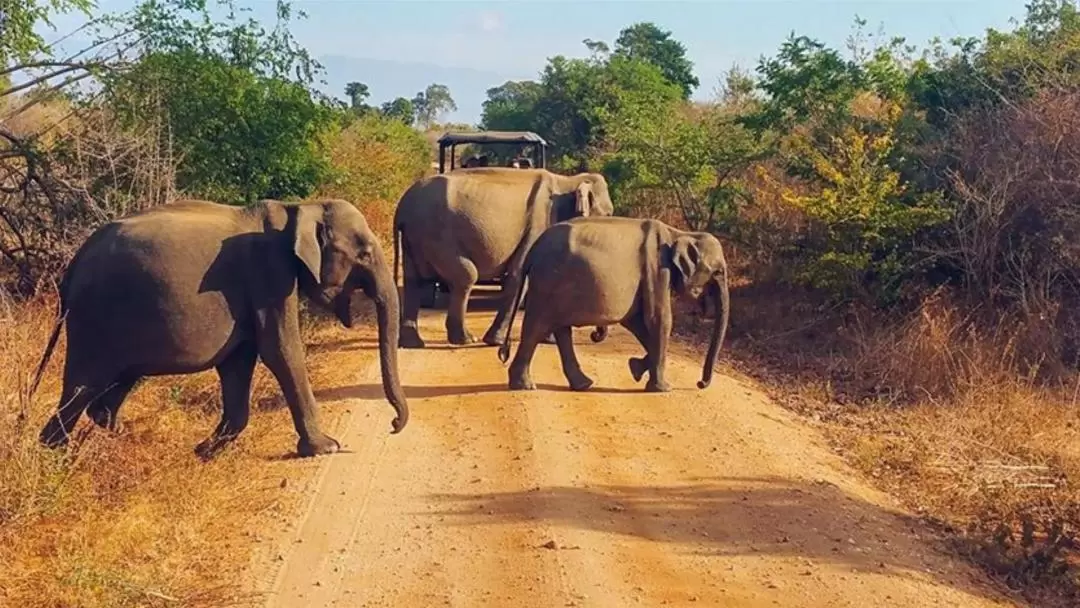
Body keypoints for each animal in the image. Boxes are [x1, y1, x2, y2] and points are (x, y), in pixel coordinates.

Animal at [29, 197, 410, 460]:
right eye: (363, 253)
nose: (393, 426)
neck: (300, 208)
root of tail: (75, 261)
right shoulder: (269, 274)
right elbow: (280, 350)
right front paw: (326, 448)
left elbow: (239, 360)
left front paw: (203, 451)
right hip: (95, 317)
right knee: (83, 386)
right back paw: (55, 456)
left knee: (114, 385)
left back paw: (121, 436)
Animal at [395, 166, 617, 349]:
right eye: (608, 214)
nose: (595, 336)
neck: (567, 181)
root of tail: (402, 208)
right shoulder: (537, 224)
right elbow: (519, 276)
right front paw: (496, 341)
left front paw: (549, 340)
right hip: (436, 235)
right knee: (465, 277)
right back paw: (466, 340)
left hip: (415, 237)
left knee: (413, 281)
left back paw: (413, 343)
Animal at [498, 215, 734, 393]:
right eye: (718, 272)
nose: (700, 383)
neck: (679, 233)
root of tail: (533, 250)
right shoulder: (657, 269)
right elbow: (659, 319)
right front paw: (662, 388)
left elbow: (637, 322)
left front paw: (635, 368)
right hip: (547, 281)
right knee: (536, 327)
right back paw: (525, 386)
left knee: (560, 329)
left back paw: (582, 384)